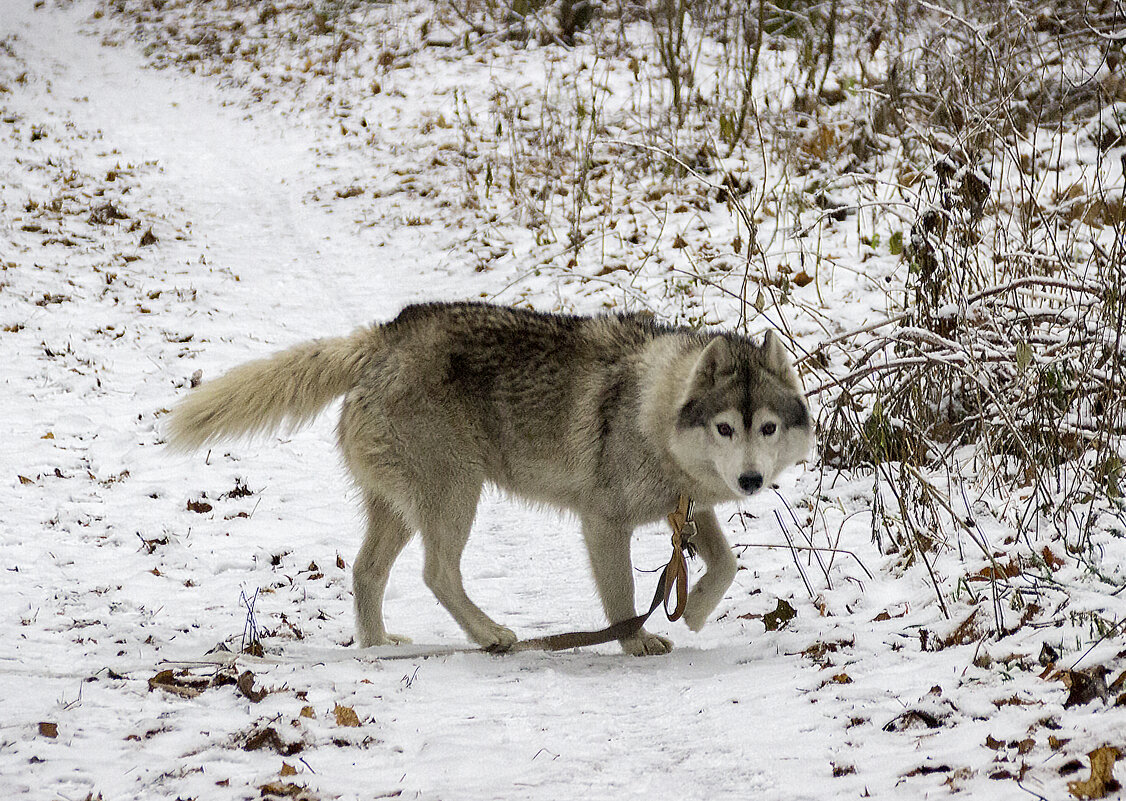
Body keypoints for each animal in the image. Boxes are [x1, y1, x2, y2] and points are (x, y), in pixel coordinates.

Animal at [166, 301, 815, 657]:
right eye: (726, 428)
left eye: (767, 427)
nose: (752, 481)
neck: (651, 409)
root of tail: (381, 336)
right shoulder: (603, 522)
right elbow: (625, 598)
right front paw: (635, 641)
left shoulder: (687, 508)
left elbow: (726, 564)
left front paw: (697, 611)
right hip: (455, 496)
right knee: (436, 573)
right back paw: (490, 634)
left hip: (402, 508)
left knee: (367, 572)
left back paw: (376, 647)